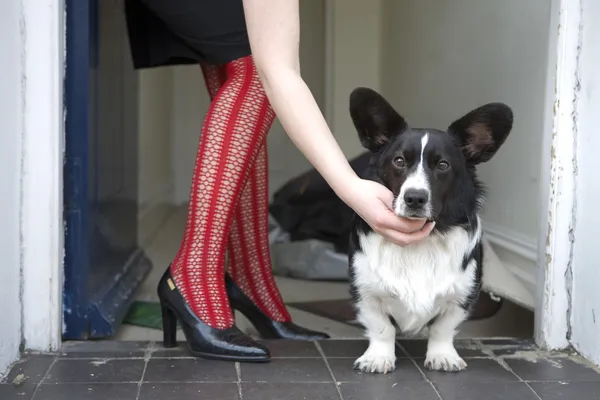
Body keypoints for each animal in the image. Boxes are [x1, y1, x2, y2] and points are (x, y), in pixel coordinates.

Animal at [350, 87, 512, 376]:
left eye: (443, 165)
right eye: (399, 161)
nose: (415, 198)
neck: (421, 244)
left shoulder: (461, 296)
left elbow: (442, 329)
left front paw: (442, 356)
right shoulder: (366, 293)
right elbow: (382, 328)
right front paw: (378, 358)